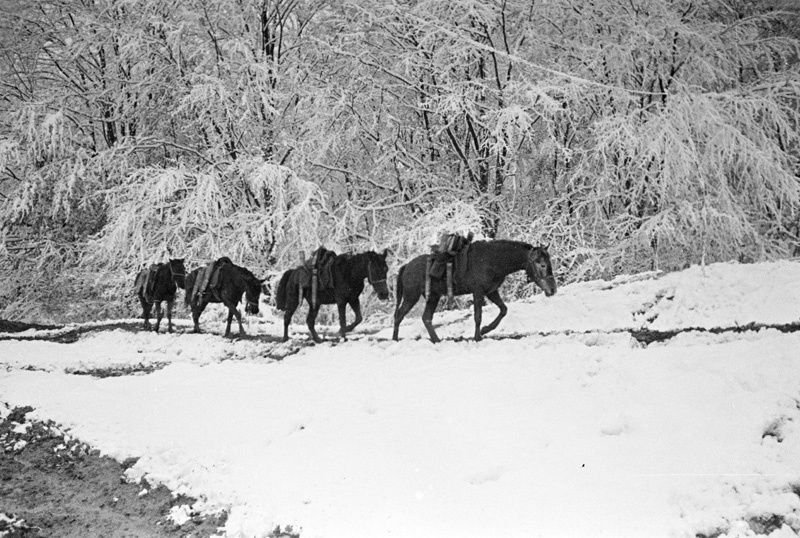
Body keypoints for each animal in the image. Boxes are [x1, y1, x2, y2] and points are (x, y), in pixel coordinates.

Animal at [392, 240, 556, 342]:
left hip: (433, 296)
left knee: (426, 318)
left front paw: (485, 330)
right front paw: (478, 337)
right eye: (542, 264)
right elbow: (478, 316)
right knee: (399, 315)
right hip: (411, 296)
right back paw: (395, 339)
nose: (553, 289)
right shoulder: (478, 292)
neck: (492, 260)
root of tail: (406, 266)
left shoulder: (491, 291)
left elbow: (503, 310)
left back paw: (436, 340)